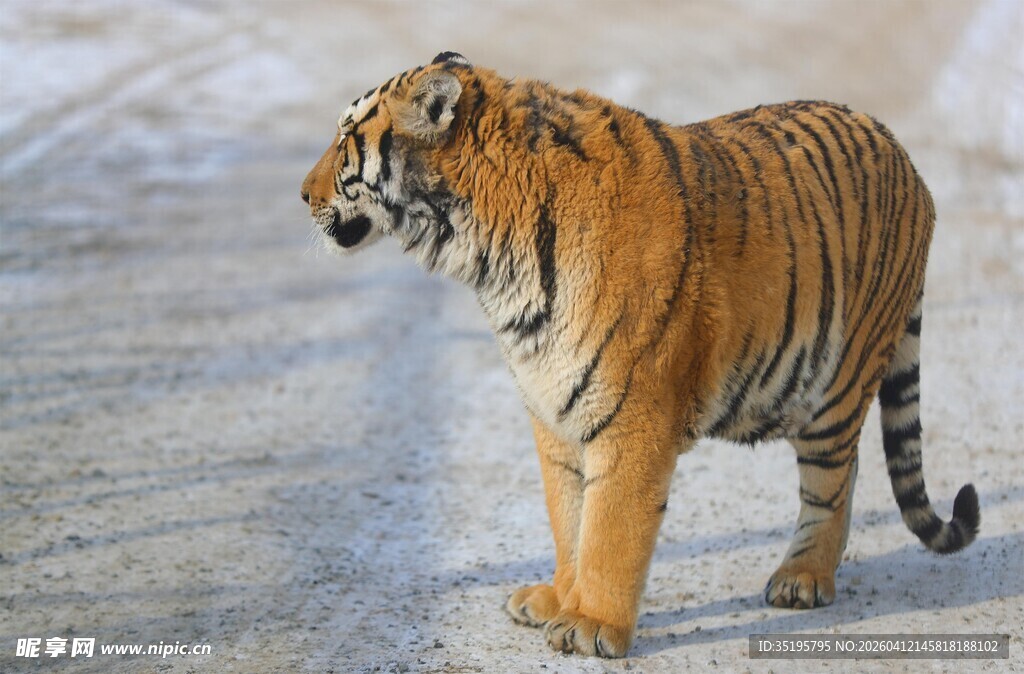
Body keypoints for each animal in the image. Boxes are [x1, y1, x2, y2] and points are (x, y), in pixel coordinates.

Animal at [301, 51, 980, 658]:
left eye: (346, 139)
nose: (301, 194)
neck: (487, 257)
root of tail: (903, 155)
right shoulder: (554, 415)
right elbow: (569, 519)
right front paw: (557, 599)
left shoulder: (633, 418)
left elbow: (610, 531)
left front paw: (590, 626)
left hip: (838, 382)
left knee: (834, 479)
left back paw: (802, 578)